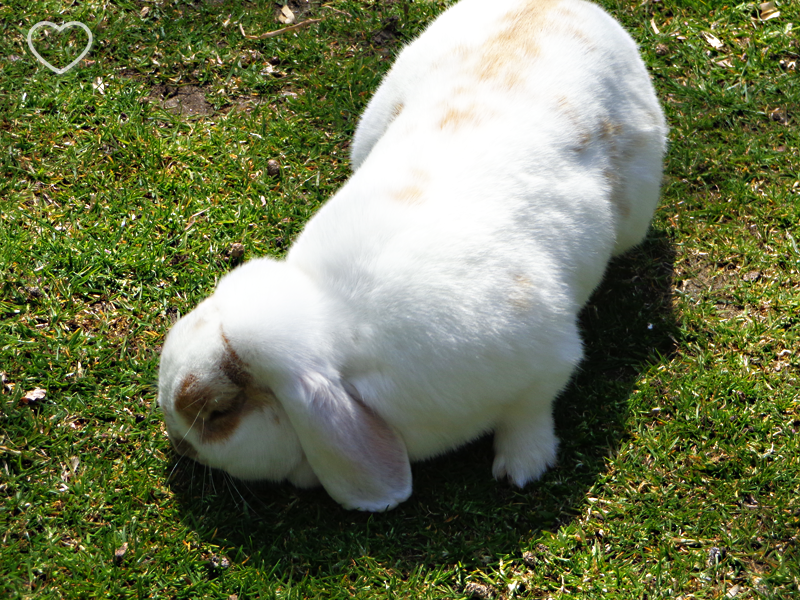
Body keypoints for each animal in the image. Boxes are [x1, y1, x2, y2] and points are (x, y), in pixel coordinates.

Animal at [158, 0, 668, 510]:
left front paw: (523, 466)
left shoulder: (546, 364)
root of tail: (563, 7)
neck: (339, 325)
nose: (179, 443)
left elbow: (528, 414)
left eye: (219, 413)